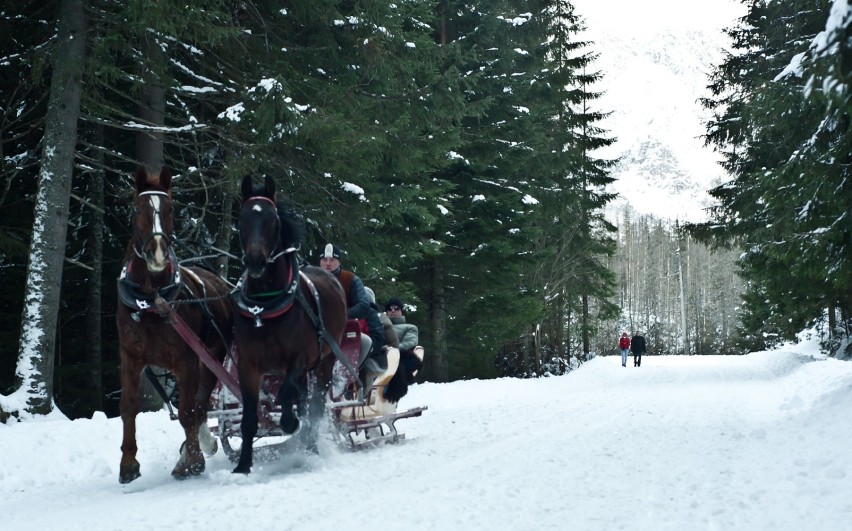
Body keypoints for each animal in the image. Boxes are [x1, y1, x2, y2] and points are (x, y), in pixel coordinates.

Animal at [115, 168, 233, 484]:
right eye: (136, 209)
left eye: (170, 208)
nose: (156, 252)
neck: (151, 302)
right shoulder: (130, 358)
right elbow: (129, 407)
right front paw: (128, 464)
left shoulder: (187, 361)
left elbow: (187, 412)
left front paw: (192, 462)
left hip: (212, 356)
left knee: (200, 405)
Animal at [231, 176, 348, 474]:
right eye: (242, 217)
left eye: (272, 219)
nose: (256, 260)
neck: (265, 305)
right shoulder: (248, 366)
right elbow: (249, 418)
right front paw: (243, 466)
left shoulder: (298, 360)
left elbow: (286, 395)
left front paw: (290, 423)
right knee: (305, 401)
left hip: (325, 361)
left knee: (315, 405)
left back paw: (309, 445)